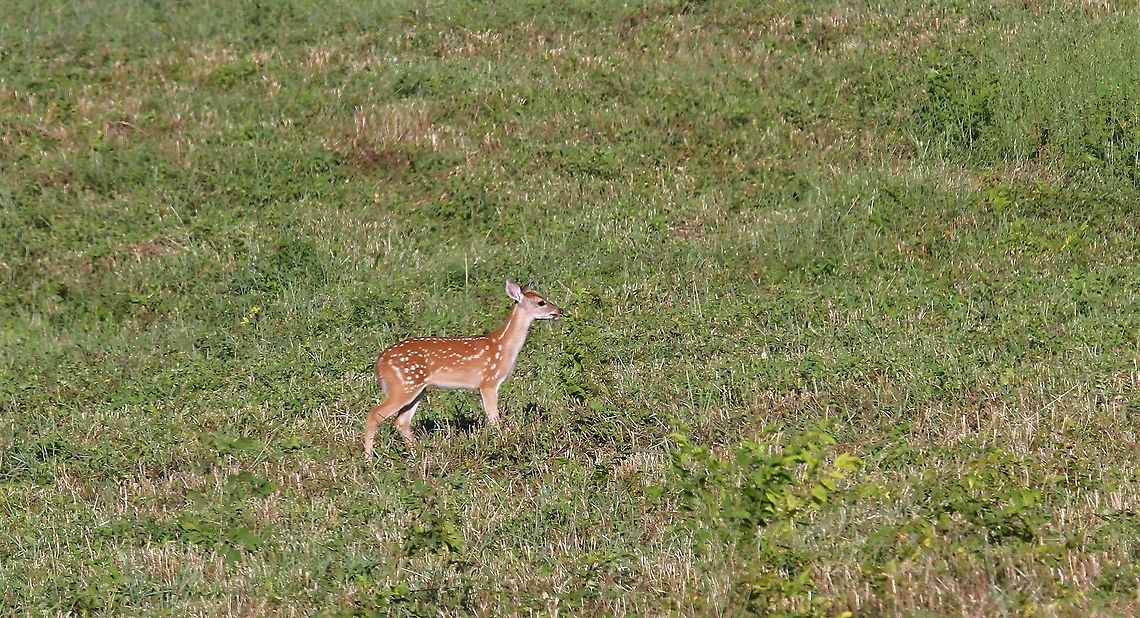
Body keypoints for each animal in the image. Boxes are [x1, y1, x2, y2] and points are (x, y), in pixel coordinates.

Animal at [364, 280, 563, 461]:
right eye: (541, 302)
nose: (560, 311)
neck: (502, 346)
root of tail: (379, 362)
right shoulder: (489, 382)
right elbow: (494, 419)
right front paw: (500, 444)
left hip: (416, 388)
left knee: (401, 421)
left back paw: (417, 455)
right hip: (403, 385)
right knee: (374, 415)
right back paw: (368, 460)